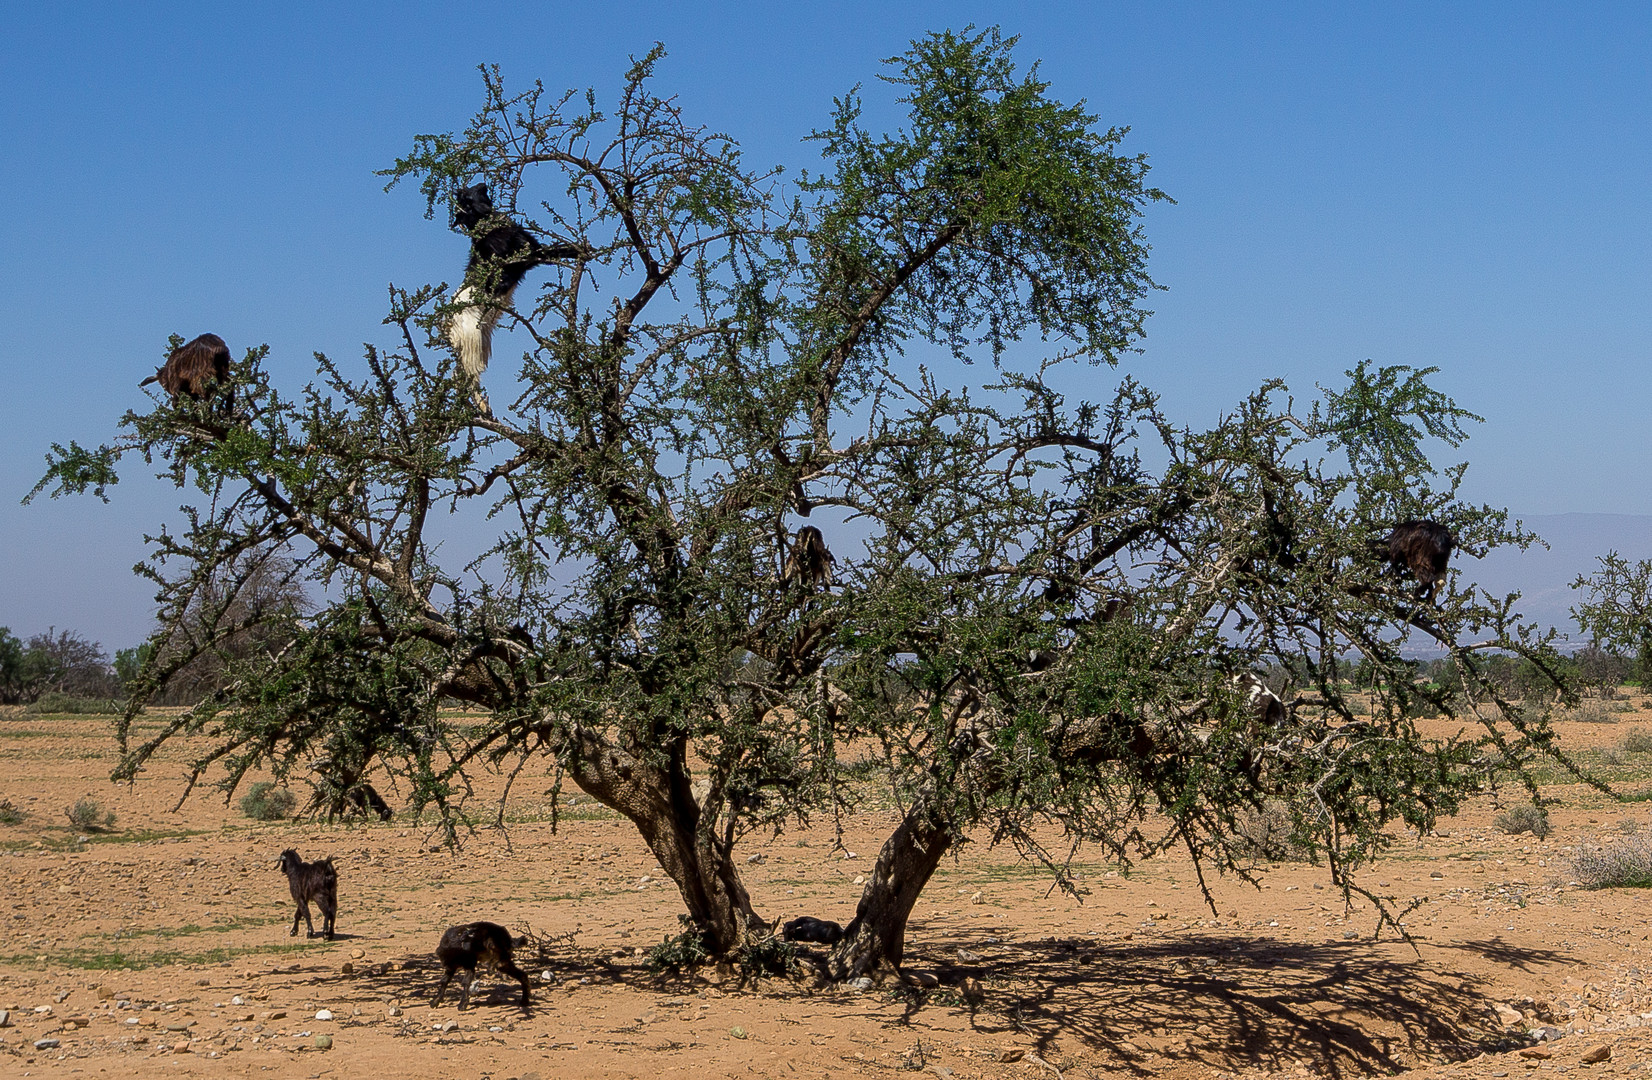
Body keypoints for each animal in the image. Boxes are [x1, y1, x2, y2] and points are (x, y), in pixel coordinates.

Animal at [446, 181, 588, 411]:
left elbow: (553, 251)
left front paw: (583, 249)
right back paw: (482, 408)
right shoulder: (521, 257)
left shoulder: (530, 251)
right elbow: (549, 252)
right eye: (466, 197)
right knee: (469, 376)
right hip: (472, 341)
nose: (482, 184)